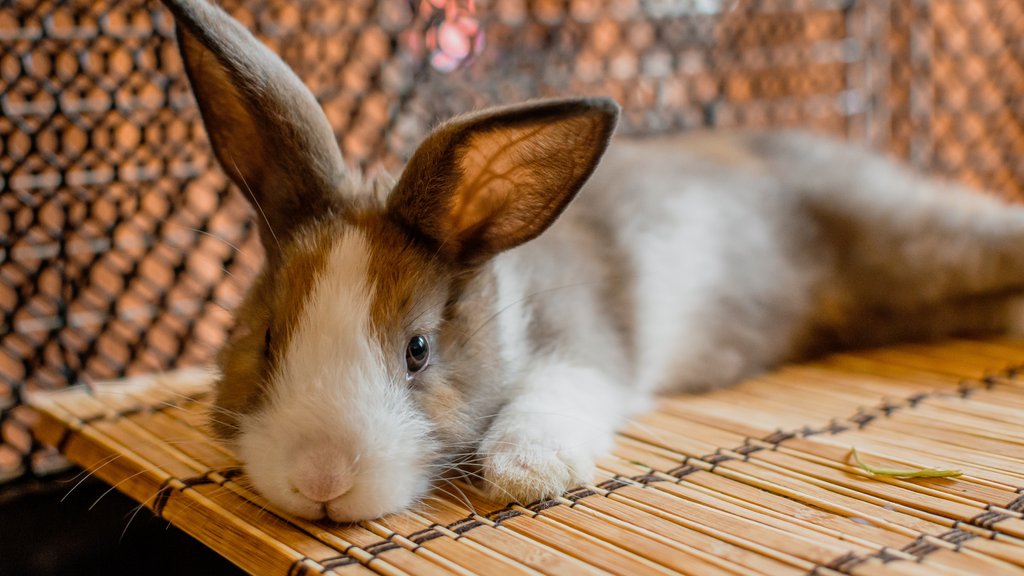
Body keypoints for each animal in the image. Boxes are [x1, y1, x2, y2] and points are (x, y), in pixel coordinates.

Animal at [162, 0, 1024, 522]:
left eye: (418, 351)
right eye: (265, 339)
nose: (321, 483)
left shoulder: (584, 341)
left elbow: (557, 394)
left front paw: (528, 470)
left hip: (917, 238)